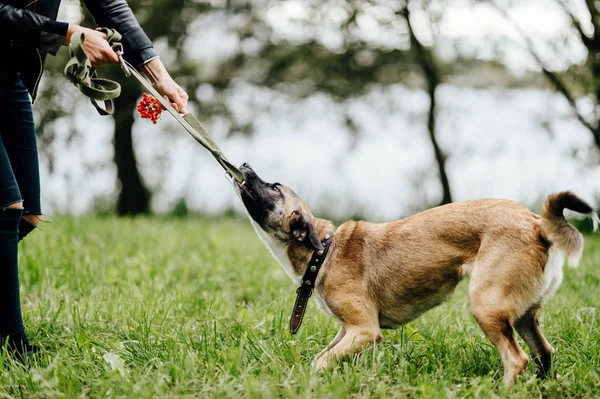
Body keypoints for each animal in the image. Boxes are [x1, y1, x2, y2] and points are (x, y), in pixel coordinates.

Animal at [233, 163, 600, 388]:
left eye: (274, 186)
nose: (245, 166)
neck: (323, 249)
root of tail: (536, 223)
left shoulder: (364, 331)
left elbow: (319, 362)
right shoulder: (348, 331)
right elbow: (325, 356)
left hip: (486, 306)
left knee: (517, 359)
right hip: (522, 315)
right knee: (543, 354)